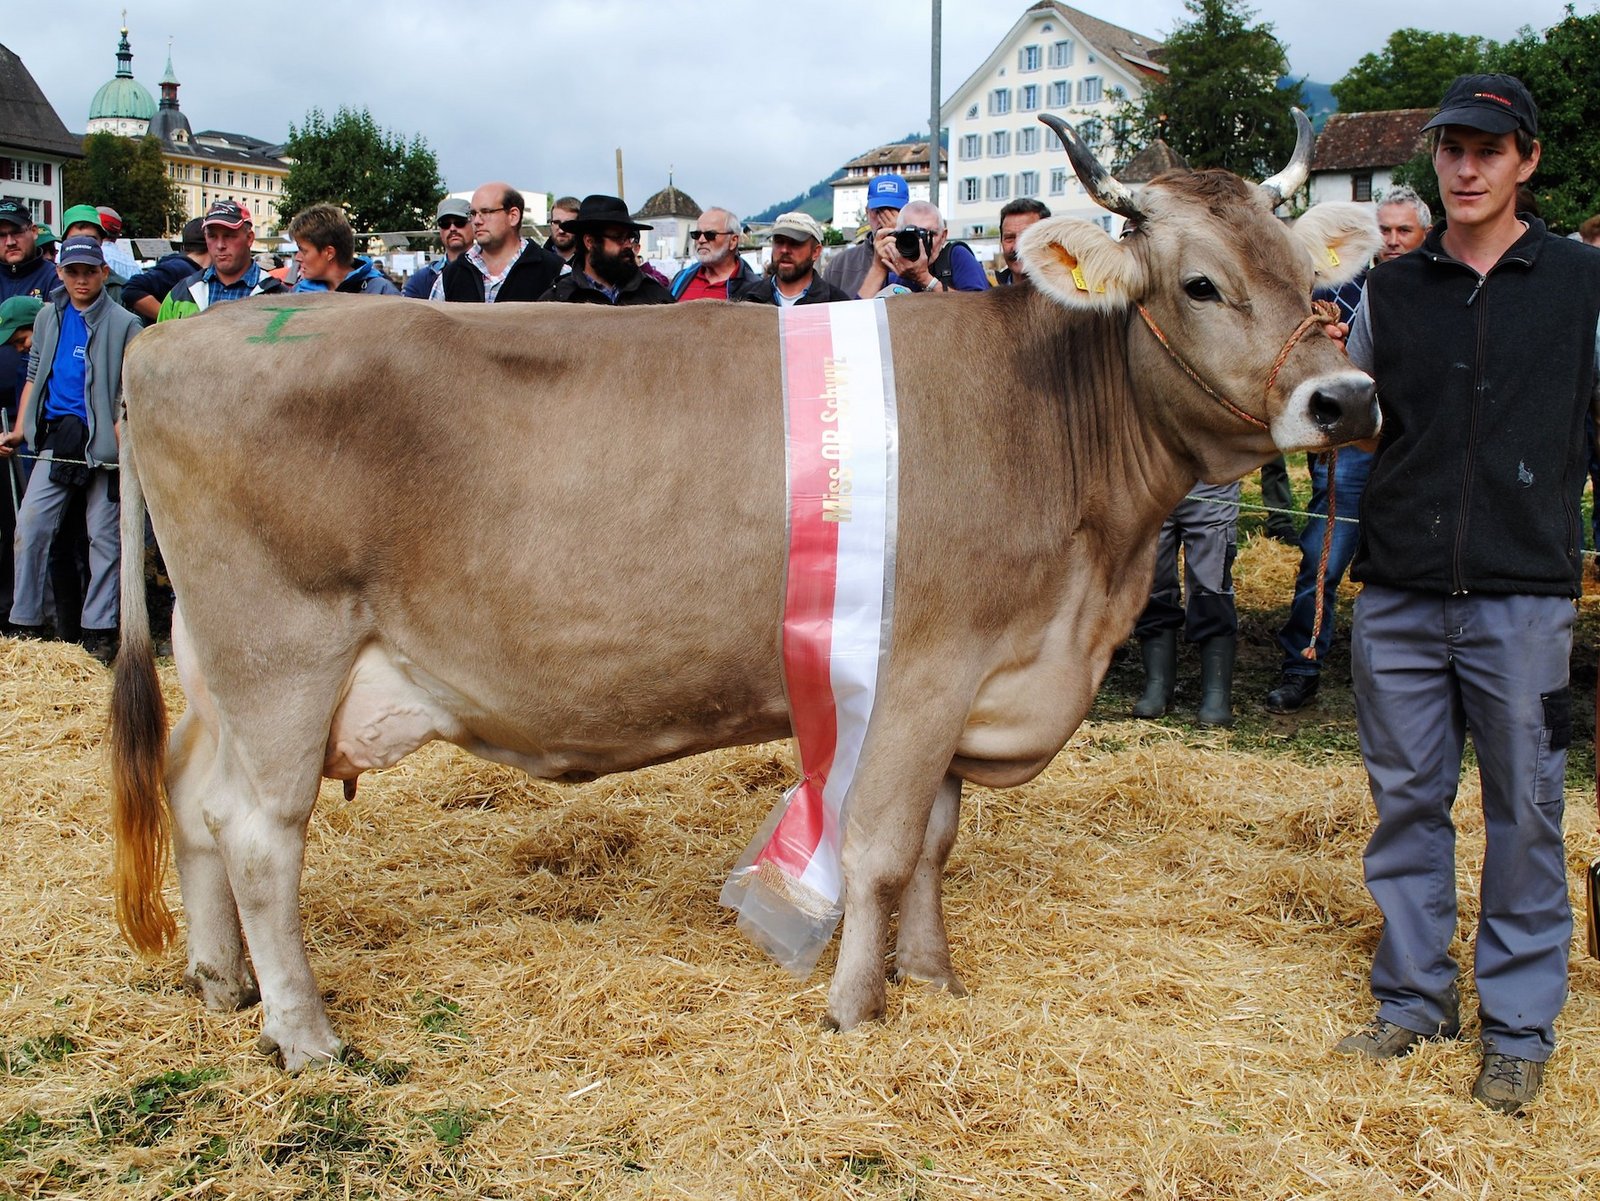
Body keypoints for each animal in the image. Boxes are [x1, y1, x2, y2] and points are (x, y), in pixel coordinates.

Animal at [110, 114, 1380, 1069]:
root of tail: (170, 343)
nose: (1346, 399)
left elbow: (936, 843)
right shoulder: (923, 668)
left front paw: (933, 974)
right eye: (1202, 283)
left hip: (219, 659)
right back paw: (304, 1031)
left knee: (191, 792)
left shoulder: (969, 681)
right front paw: (856, 1008)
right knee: (260, 831)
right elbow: (879, 849)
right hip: (283, 649)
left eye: (1310, 276)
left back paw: (219, 981)